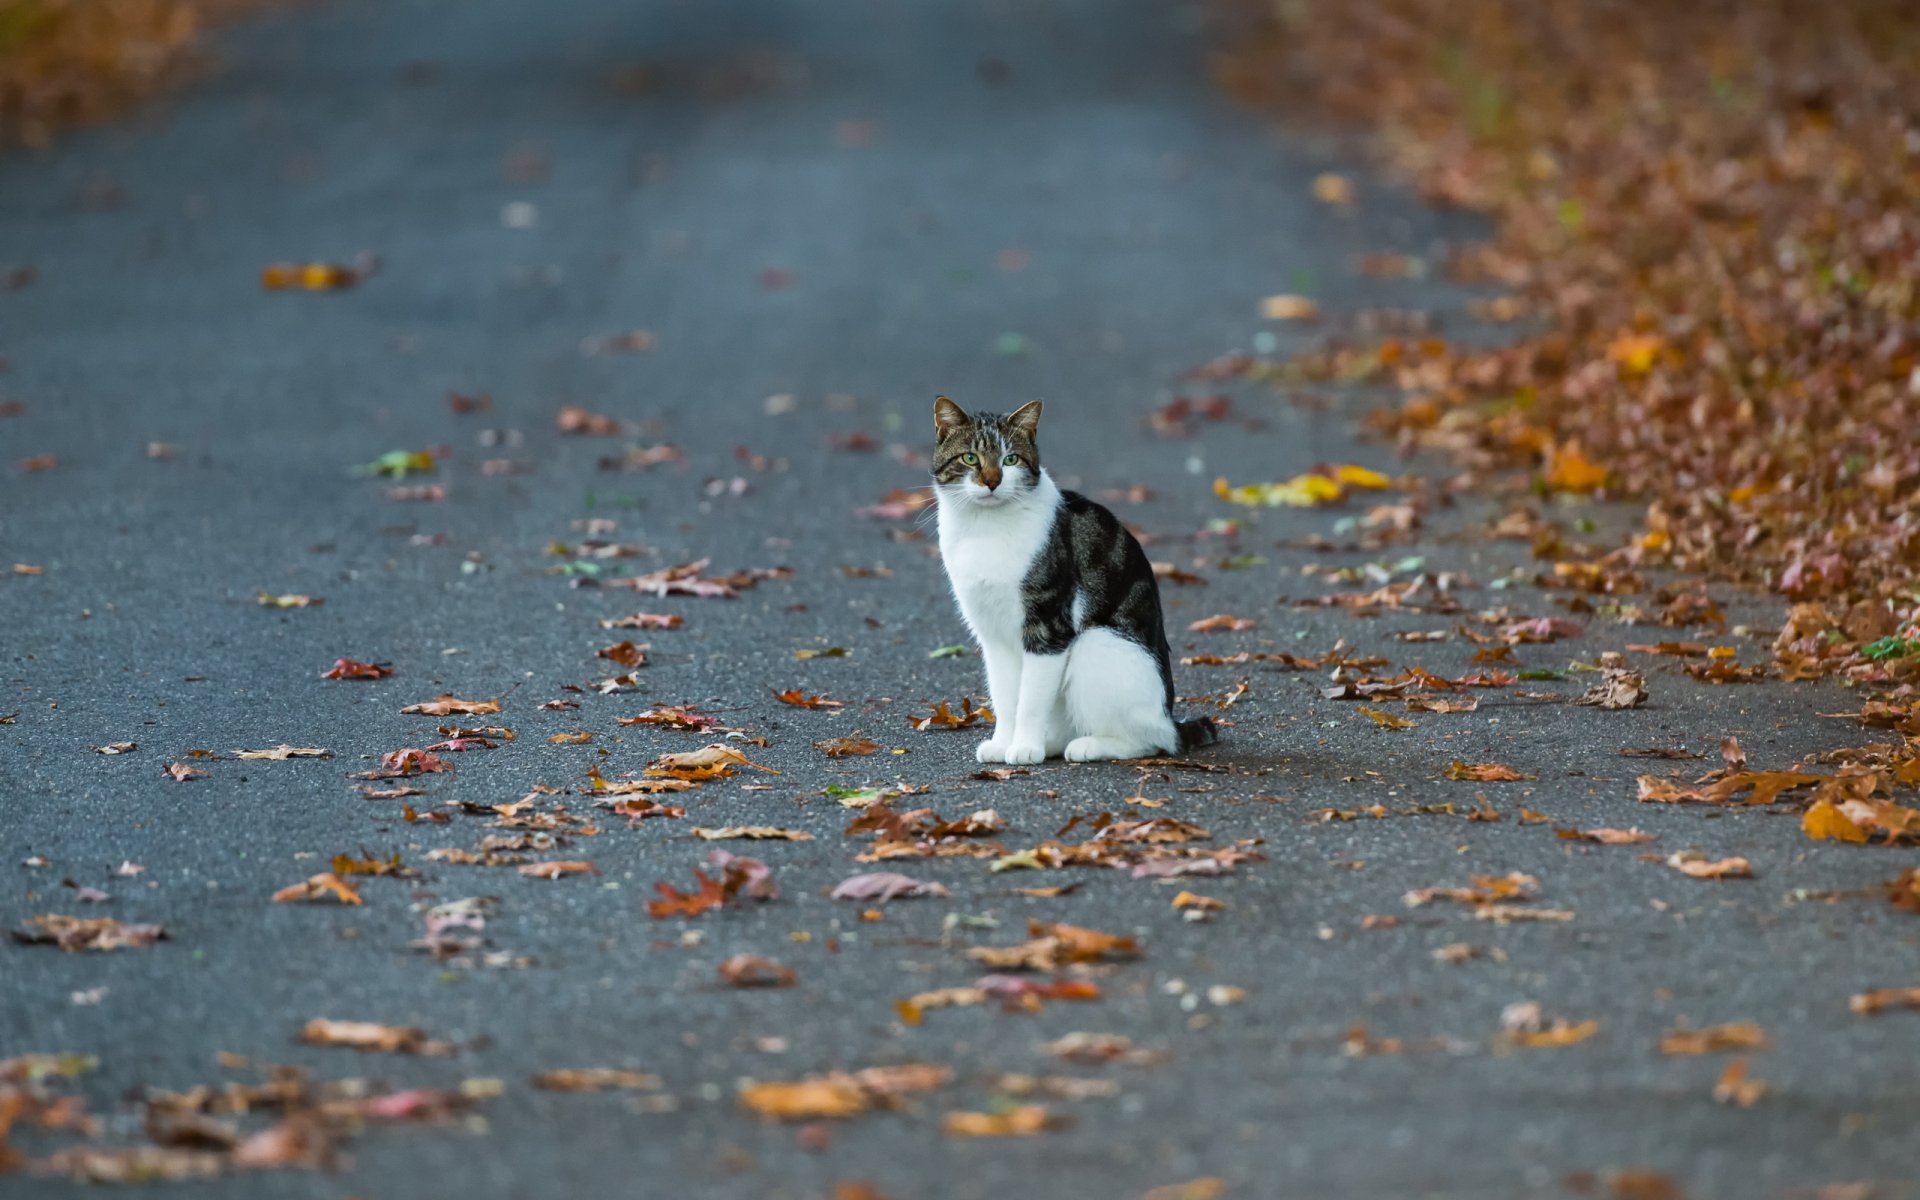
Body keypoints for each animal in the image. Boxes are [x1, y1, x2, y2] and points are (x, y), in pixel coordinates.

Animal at [925, 397, 1213, 764]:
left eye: (1010, 459)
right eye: (970, 458)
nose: (992, 481)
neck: (985, 528)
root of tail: (1170, 718)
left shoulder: (1049, 626)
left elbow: (1030, 699)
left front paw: (1024, 748)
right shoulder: (992, 635)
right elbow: (1005, 696)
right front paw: (1004, 743)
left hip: (1098, 642)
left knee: (1151, 741)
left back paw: (1088, 746)